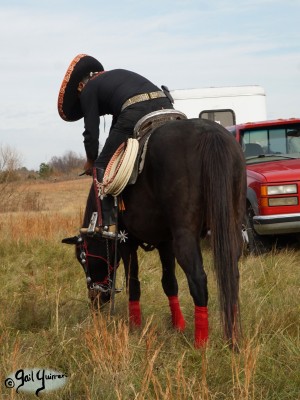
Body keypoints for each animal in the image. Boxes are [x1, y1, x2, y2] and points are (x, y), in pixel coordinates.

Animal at [63, 117, 246, 348]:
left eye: (83, 258)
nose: (95, 299)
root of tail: (208, 132)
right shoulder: (165, 243)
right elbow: (169, 283)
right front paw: (178, 325)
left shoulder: (126, 240)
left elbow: (133, 283)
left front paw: (134, 325)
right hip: (231, 228)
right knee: (232, 275)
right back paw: (232, 335)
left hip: (185, 237)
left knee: (198, 279)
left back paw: (201, 342)